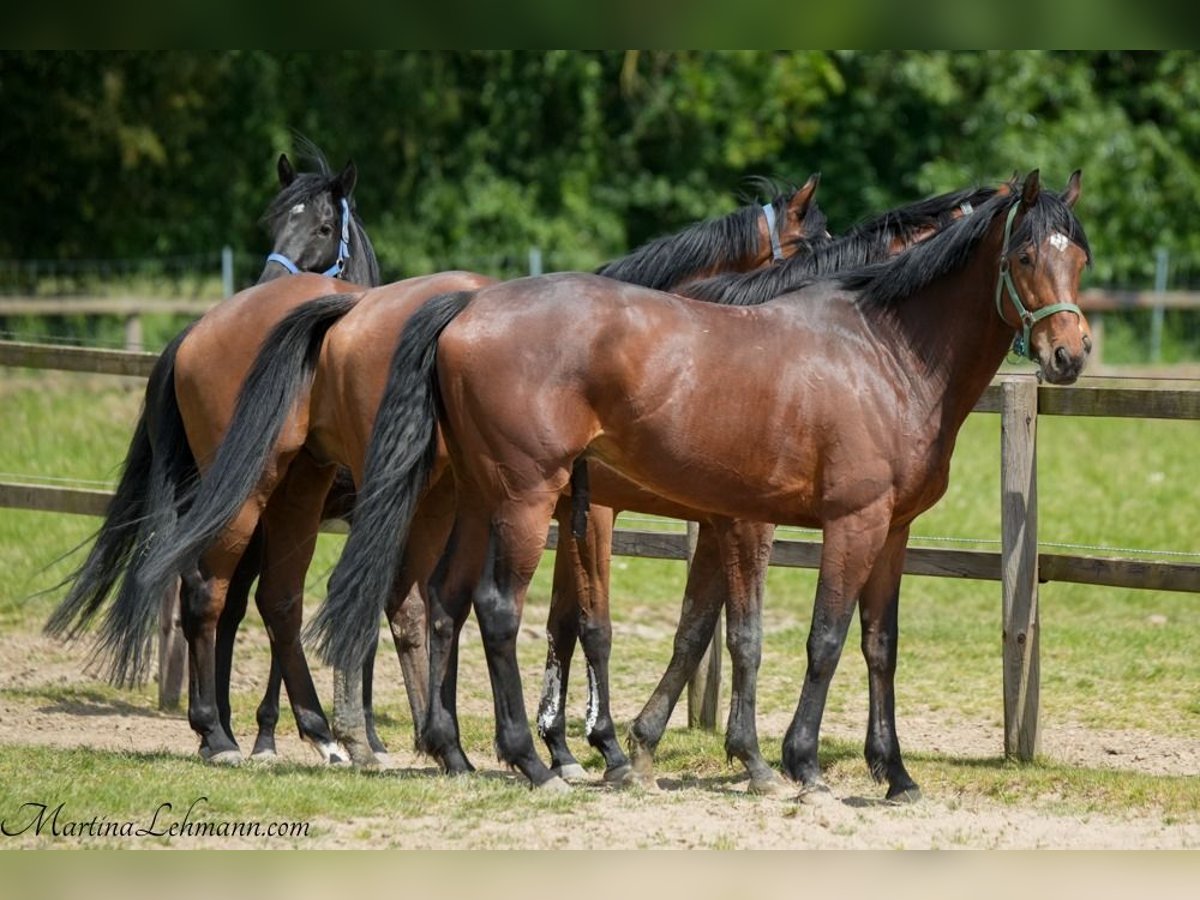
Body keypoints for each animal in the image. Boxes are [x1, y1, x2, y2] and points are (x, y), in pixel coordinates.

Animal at [48, 144, 379, 763]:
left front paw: (270, 731)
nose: (266, 282)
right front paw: (323, 732)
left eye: (324, 227)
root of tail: (192, 336)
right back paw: (222, 732)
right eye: (275, 222)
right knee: (208, 592)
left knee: (206, 593)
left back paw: (216, 730)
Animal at [314, 169, 1094, 796]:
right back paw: (525, 762)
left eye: (1079, 259)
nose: (1071, 352)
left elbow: (868, 644)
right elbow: (806, 638)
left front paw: (893, 773)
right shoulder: (835, 523)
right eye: (1024, 255)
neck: (880, 353)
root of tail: (467, 310)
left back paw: (456, 753)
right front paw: (793, 765)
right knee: (494, 609)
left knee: (444, 603)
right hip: (524, 501)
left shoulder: (887, 530)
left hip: (479, 499)